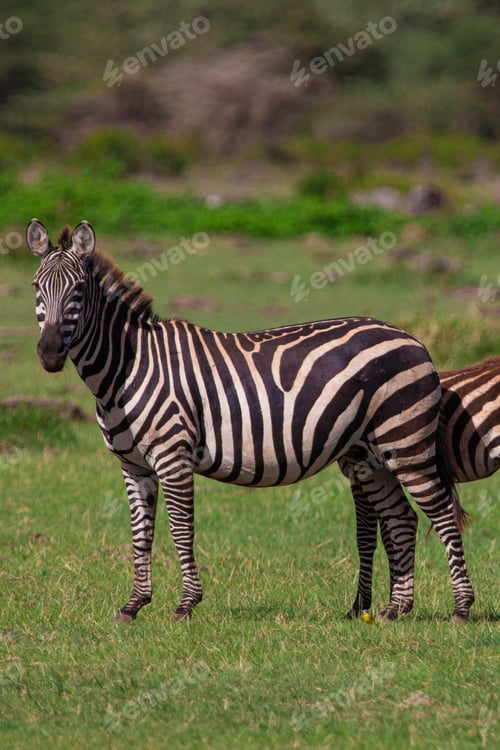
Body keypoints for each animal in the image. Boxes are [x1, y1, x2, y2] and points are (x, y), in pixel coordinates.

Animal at [26, 218, 474, 623]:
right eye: (35, 287)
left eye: (78, 291)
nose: (48, 353)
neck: (127, 368)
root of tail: (413, 339)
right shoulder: (132, 466)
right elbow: (141, 536)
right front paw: (134, 605)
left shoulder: (173, 457)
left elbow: (181, 529)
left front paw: (185, 605)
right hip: (370, 455)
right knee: (401, 519)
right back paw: (395, 609)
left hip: (406, 442)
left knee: (442, 515)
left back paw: (461, 609)